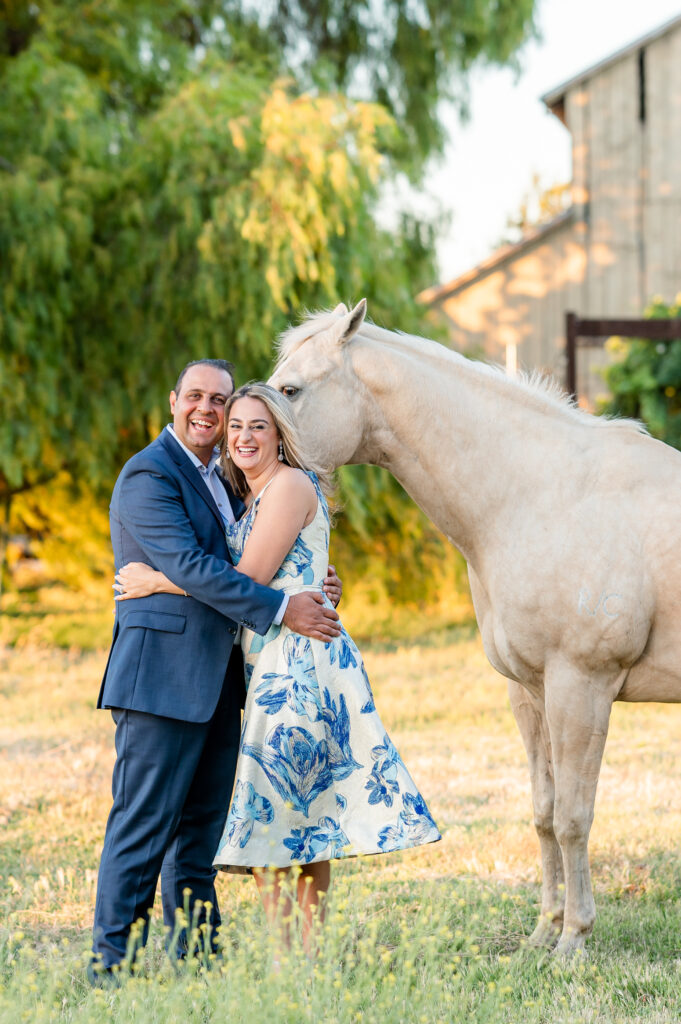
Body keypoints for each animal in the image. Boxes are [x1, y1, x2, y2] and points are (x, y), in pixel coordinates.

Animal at [268, 296, 679, 950]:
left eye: (291, 388)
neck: (536, 497)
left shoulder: (581, 687)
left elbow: (574, 817)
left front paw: (574, 939)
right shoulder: (531, 691)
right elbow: (544, 813)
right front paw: (543, 934)